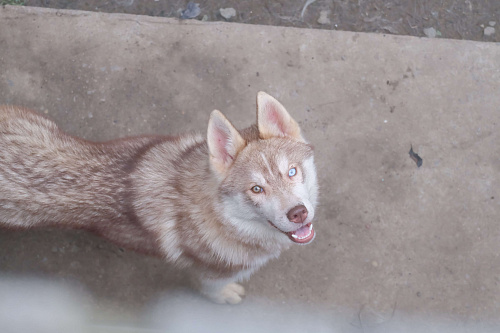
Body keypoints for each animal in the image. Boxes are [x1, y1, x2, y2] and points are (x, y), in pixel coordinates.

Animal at [0, 91, 318, 304]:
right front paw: (225, 296)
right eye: (256, 189)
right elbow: (210, 290)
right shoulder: (211, 274)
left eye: (292, 172)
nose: (298, 213)